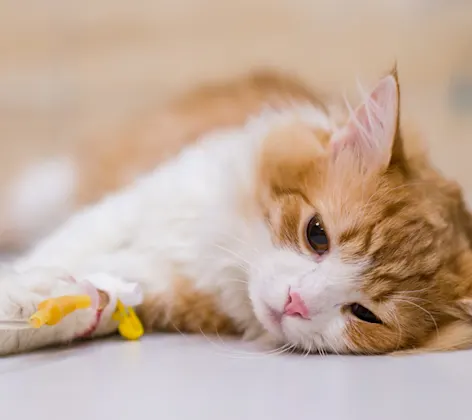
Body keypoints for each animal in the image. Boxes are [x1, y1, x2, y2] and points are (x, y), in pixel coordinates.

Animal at [0, 69, 472, 354]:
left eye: (365, 315)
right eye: (317, 234)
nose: (296, 302)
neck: (227, 257)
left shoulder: (162, 288)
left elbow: (94, 294)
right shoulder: (133, 207)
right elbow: (62, 249)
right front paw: (21, 288)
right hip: (49, 190)